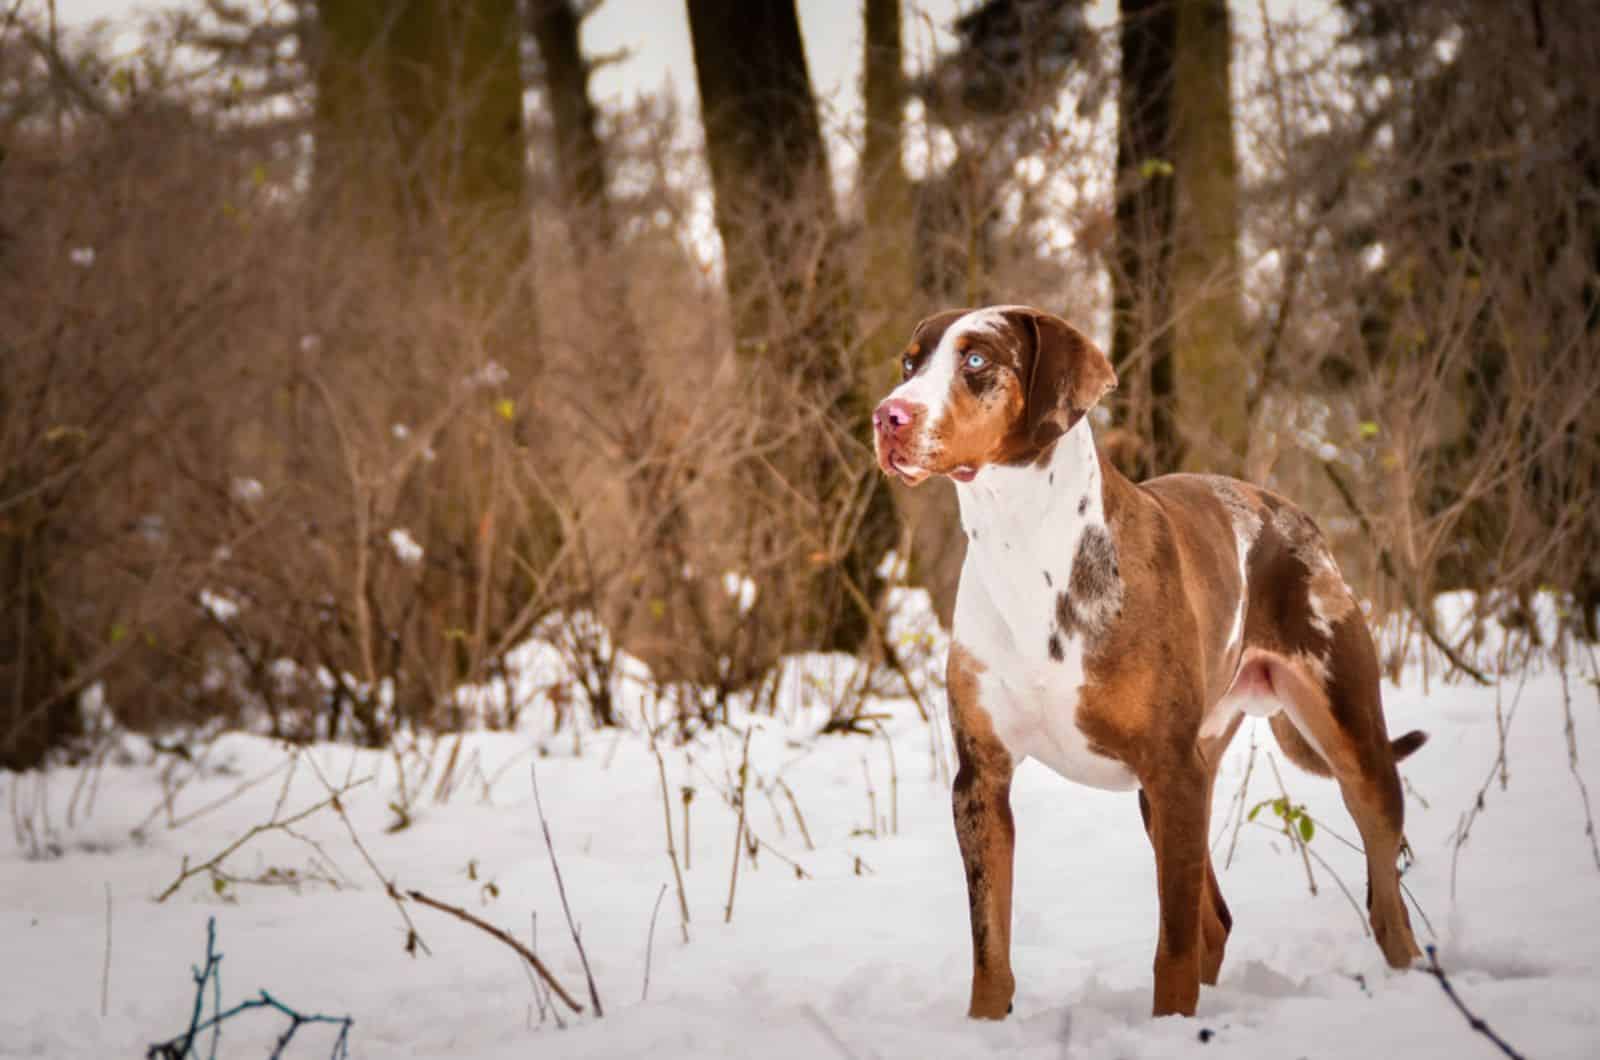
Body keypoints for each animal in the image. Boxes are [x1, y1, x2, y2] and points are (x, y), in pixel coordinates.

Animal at [876, 305, 1427, 1024]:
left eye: (976, 361)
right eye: (910, 363)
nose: (888, 415)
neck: (1024, 545)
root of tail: (1293, 515)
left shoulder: (1170, 770)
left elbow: (1173, 946)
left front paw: (1169, 1022)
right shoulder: (982, 780)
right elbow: (990, 947)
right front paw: (985, 1028)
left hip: (1352, 749)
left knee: (1385, 901)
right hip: (1176, 783)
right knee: (1216, 921)